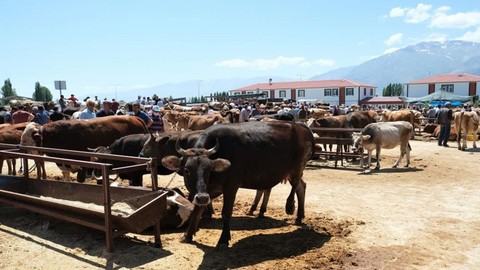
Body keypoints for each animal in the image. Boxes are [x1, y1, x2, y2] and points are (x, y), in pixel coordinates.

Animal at [161, 122, 316, 249]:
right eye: (187, 170)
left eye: (209, 169)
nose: (202, 198)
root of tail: (301, 126)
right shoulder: (204, 192)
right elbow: (197, 210)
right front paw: (188, 235)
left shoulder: (231, 187)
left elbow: (226, 213)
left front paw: (223, 240)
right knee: (301, 187)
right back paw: (299, 216)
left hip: (297, 168)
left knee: (296, 185)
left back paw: (290, 206)